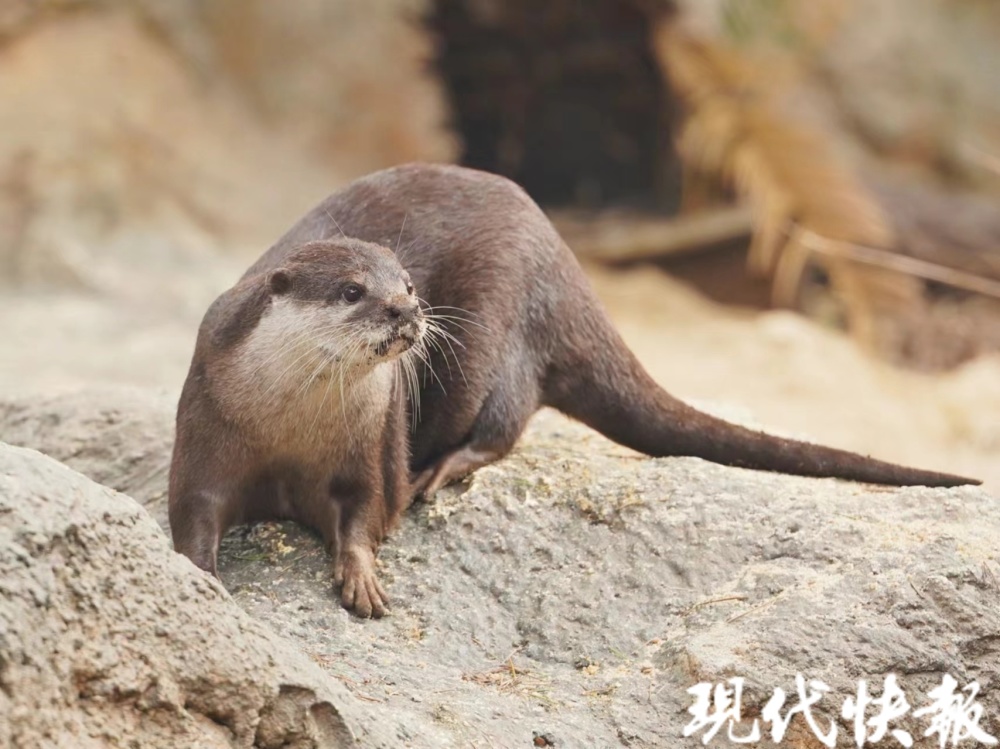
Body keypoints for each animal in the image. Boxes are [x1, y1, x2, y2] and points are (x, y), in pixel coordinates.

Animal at [168, 161, 980, 616]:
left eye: (406, 282)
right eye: (350, 290)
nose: (407, 310)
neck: (290, 426)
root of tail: (562, 257)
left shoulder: (370, 446)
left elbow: (369, 514)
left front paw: (363, 576)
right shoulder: (207, 416)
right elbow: (193, 512)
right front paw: (200, 578)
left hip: (500, 332)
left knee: (508, 417)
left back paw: (448, 466)